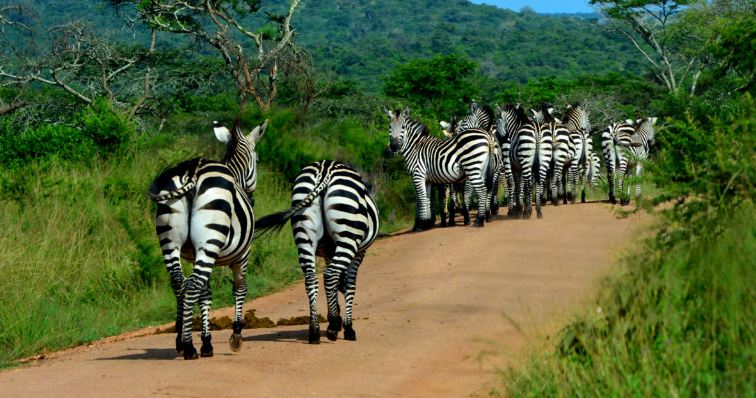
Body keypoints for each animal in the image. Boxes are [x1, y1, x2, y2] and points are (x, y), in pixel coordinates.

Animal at [148, 119, 268, 360]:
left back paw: (181, 340)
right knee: (192, 284)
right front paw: (236, 335)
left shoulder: (195, 254)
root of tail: (190, 173)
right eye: (258, 160)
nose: (252, 198)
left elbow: (206, 294)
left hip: (171, 242)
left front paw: (206, 341)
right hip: (209, 241)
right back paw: (188, 347)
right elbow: (240, 288)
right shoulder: (243, 254)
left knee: (180, 283)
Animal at [256, 160, 380, 344]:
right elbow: (349, 284)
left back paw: (314, 331)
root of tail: (325, 168)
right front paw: (346, 327)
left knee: (312, 278)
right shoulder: (359, 253)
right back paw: (332, 328)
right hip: (348, 234)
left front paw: (335, 317)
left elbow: (339, 284)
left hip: (304, 233)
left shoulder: (329, 253)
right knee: (330, 274)